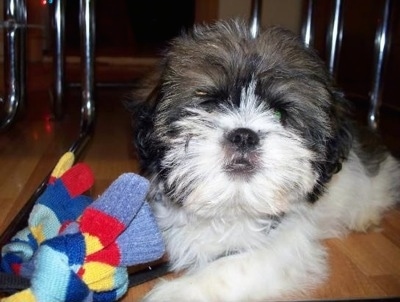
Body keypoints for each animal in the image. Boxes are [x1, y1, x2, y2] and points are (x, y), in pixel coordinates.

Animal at [126, 19, 400, 302]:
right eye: (210, 105)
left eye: (279, 113)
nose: (244, 136)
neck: (233, 203)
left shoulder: (285, 243)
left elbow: (232, 267)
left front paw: (178, 292)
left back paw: (365, 216)